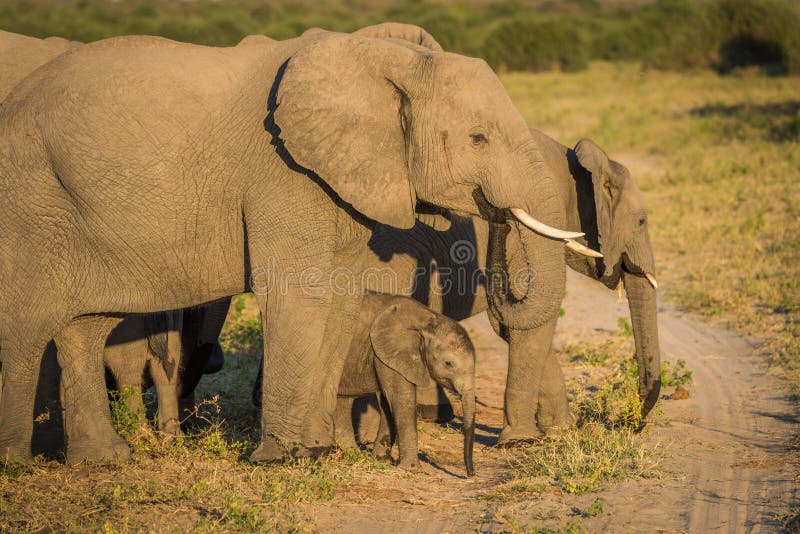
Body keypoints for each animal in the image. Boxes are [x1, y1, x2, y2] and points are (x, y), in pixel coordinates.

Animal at [334, 293, 475, 476]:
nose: (471, 474)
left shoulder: (385, 354)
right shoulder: (390, 350)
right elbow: (400, 398)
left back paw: (352, 453)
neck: (427, 319)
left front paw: (383, 460)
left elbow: (388, 400)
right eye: (448, 363)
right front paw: (412, 469)